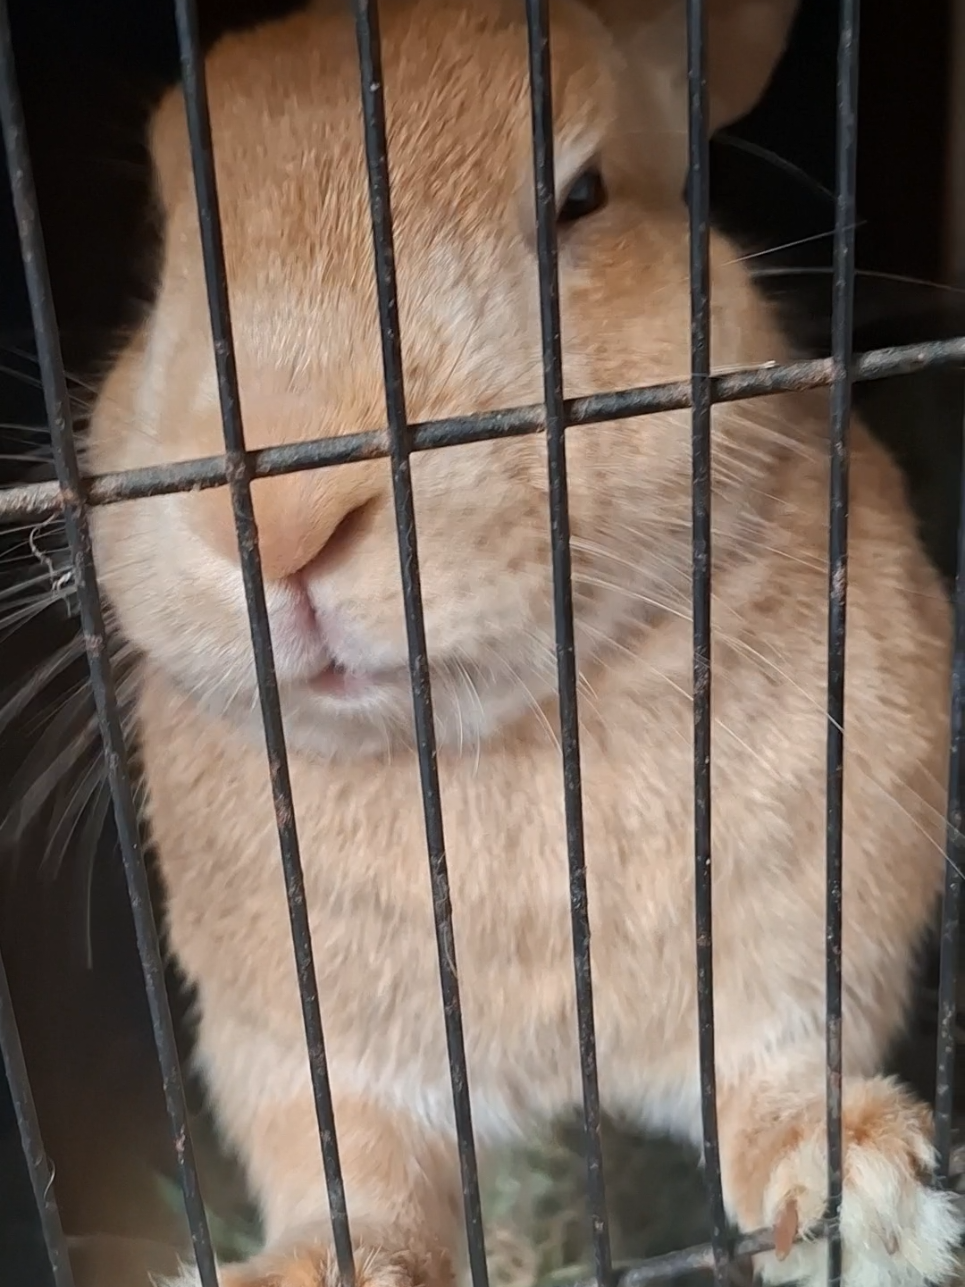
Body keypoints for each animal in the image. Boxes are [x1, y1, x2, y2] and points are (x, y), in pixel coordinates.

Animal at [83, 1, 965, 1285]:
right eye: (163, 257)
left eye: (579, 199)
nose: (284, 521)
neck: (489, 739)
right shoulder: (299, 1048)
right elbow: (355, 1178)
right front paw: (310, 1267)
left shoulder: (802, 935)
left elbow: (774, 1071)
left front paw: (865, 1200)